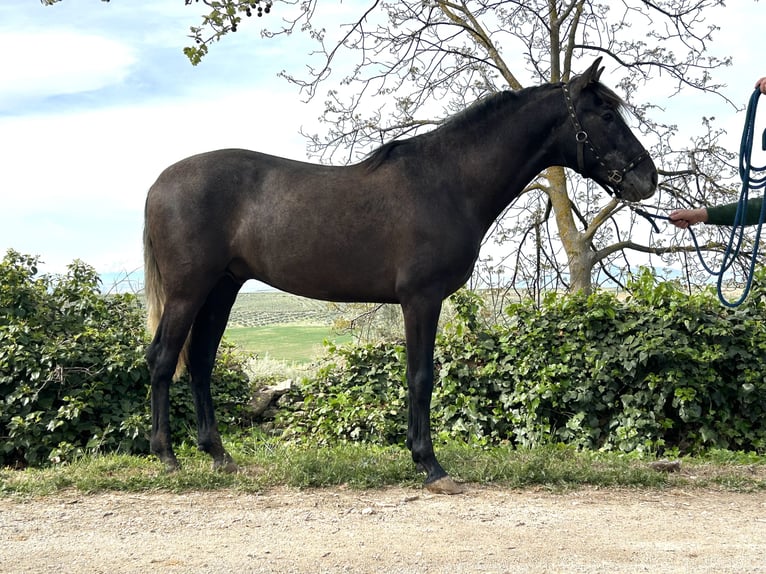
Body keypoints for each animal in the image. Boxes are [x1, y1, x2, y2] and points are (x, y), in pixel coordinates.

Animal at [144, 60, 660, 498]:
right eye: (606, 114)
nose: (648, 178)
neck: (449, 181)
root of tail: (158, 184)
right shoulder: (421, 299)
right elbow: (421, 376)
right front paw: (430, 465)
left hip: (222, 289)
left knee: (200, 362)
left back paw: (218, 455)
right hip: (189, 290)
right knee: (164, 359)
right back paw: (166, 457)